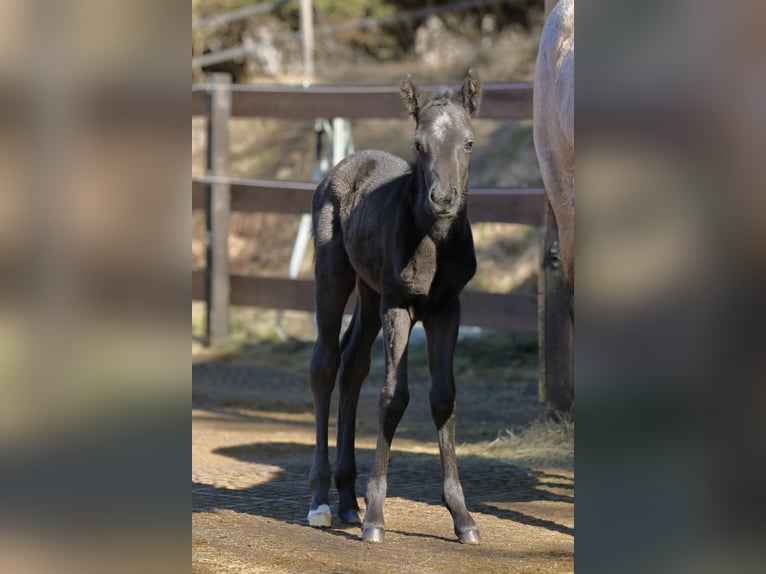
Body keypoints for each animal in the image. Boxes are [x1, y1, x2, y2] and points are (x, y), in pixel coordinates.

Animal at [308, 71, 484, 544]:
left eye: (468, 142)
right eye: (419, 144)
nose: (443, 198)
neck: (435, 241)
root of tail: (344, 164)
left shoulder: (447, 309)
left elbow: (444, 398)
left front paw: (462, 516)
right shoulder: (399, 305)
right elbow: (393, 397)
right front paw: (375, 517)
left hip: (370, 296)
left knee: (353, 366)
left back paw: (348, 501)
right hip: (334, 276)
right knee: (325, 365)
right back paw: (322, 502)